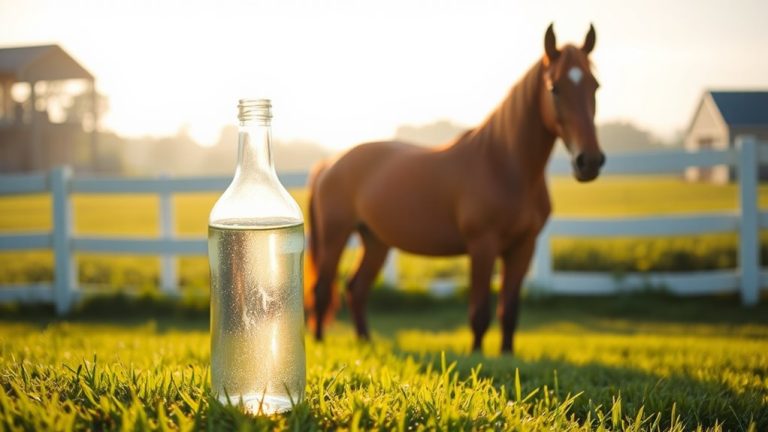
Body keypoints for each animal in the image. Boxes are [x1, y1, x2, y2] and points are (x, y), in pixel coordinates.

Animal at [305, 24, 605, 353]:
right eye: (555, 88)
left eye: (595, 86)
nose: (589, 161)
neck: (503, 165)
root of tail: (328, 164)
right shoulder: (482, 245)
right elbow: (480, 312)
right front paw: (477, 356)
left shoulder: (523, 247)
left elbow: (509, 311)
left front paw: (507, 354)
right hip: (335, 236)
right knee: (322, 290)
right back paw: (319, 342)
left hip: (375, 241)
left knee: (355, 288)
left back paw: (366, 343)